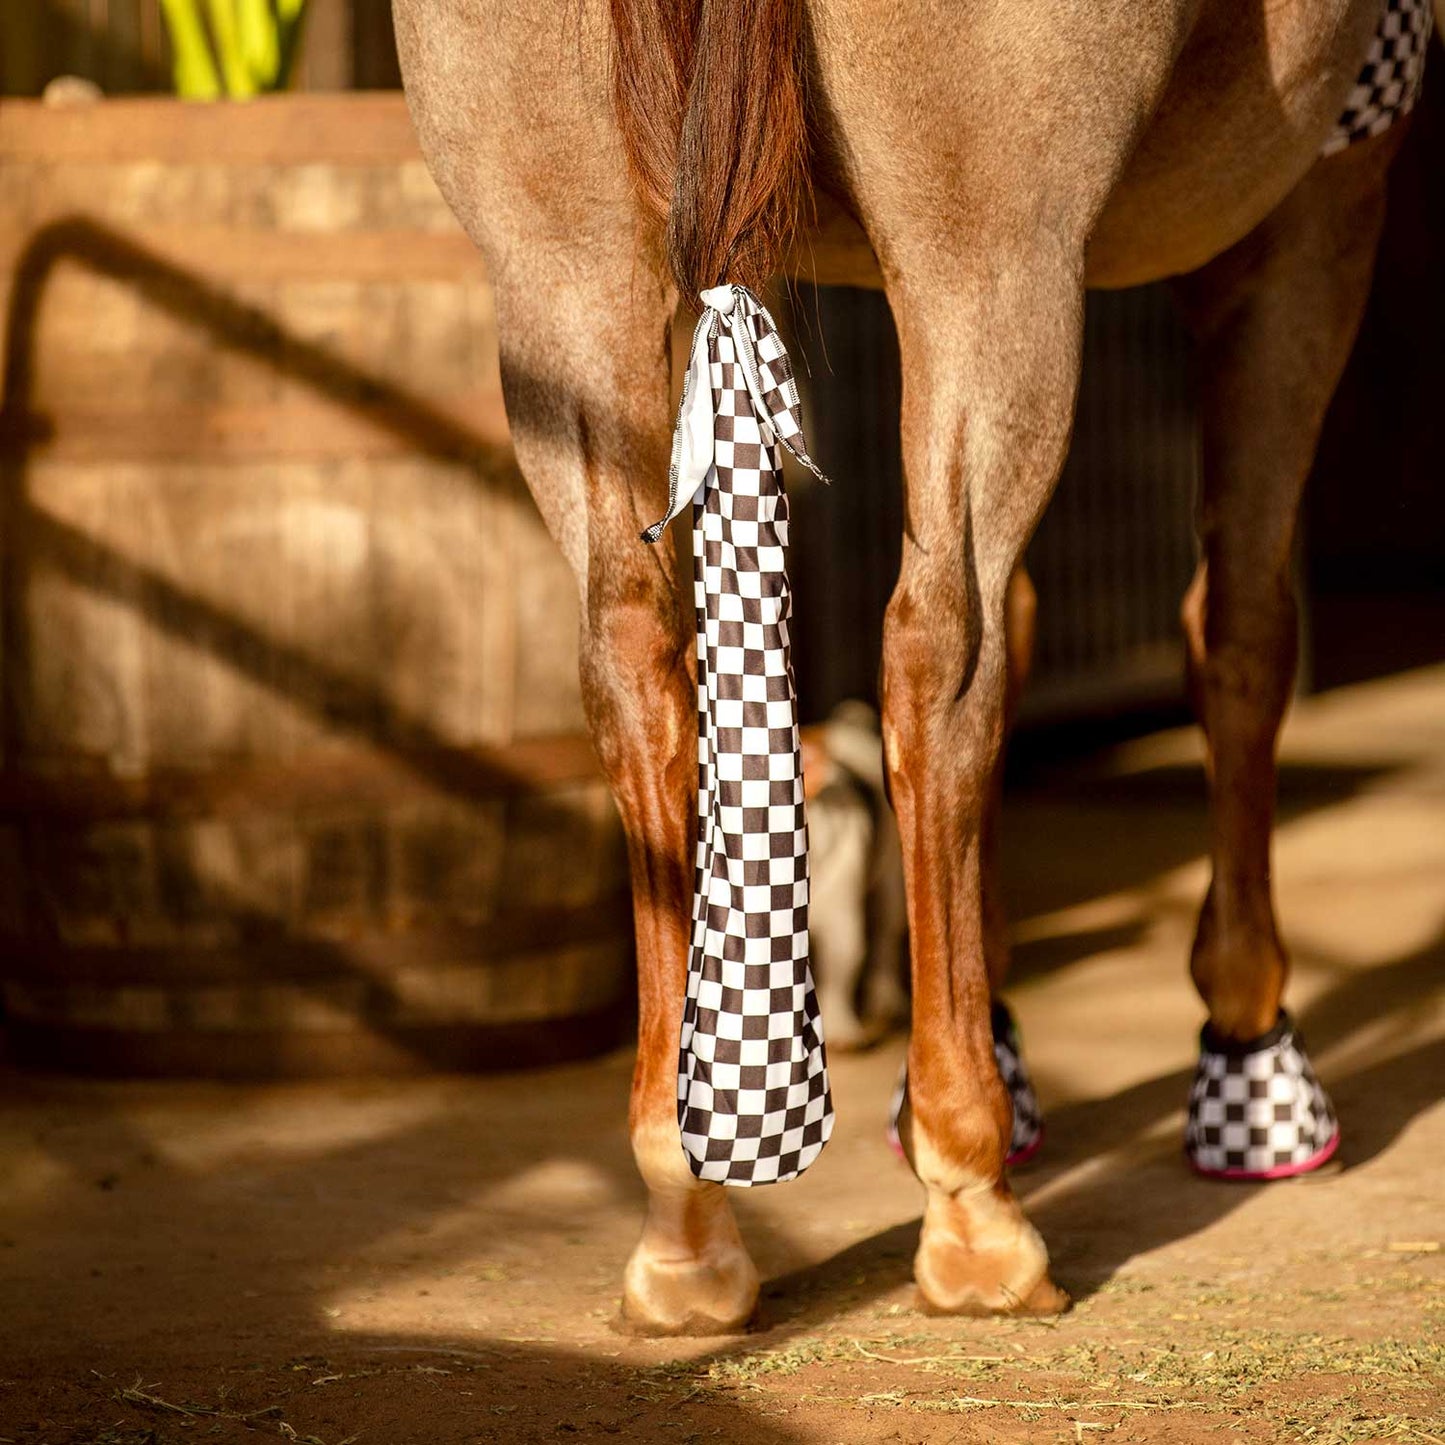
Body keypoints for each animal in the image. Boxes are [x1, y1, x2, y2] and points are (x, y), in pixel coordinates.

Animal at [391, 0, 1435, 1333]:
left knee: (634, 659)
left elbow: (1042, 621)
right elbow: (1239, 630)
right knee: (937, 656)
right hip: (986, 259)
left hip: (560, 268)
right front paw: (1250, 1056)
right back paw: (972, 1201)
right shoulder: (1314, 207)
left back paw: (685, 1213)